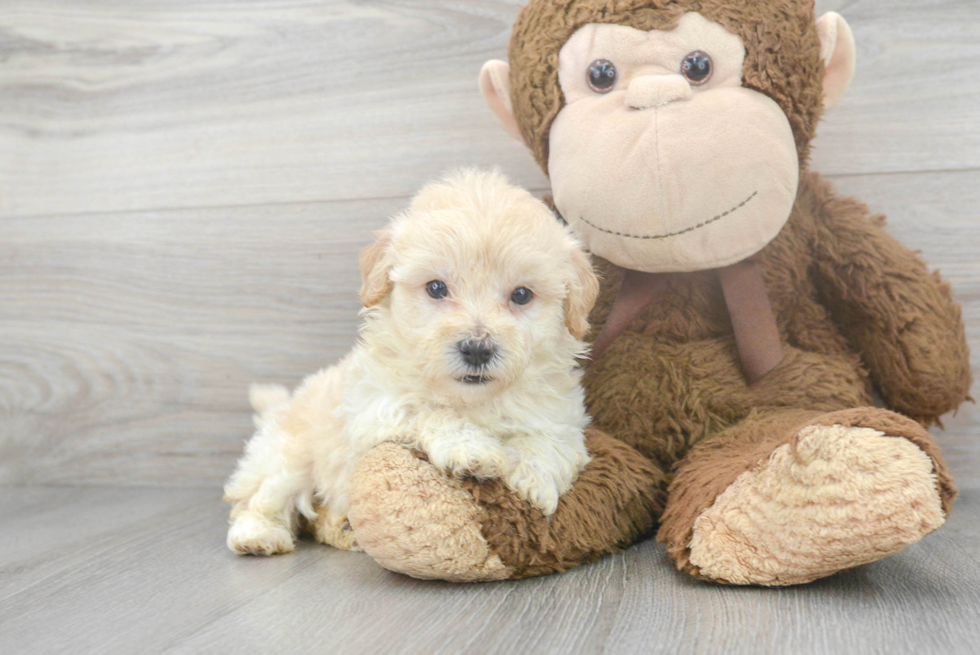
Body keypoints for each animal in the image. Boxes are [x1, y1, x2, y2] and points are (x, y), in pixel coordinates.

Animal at [225, 170, 600, 560]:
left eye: (522, 295)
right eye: (436, 288)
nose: (476, 349)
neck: (473, 401)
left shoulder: (561, 417)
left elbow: (549, 440)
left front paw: (534, 478)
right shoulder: (375, 408)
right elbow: (429, 411)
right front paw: (473, 449)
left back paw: (344, 529)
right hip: (288, 455)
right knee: (260, 496)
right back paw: (258, 534)